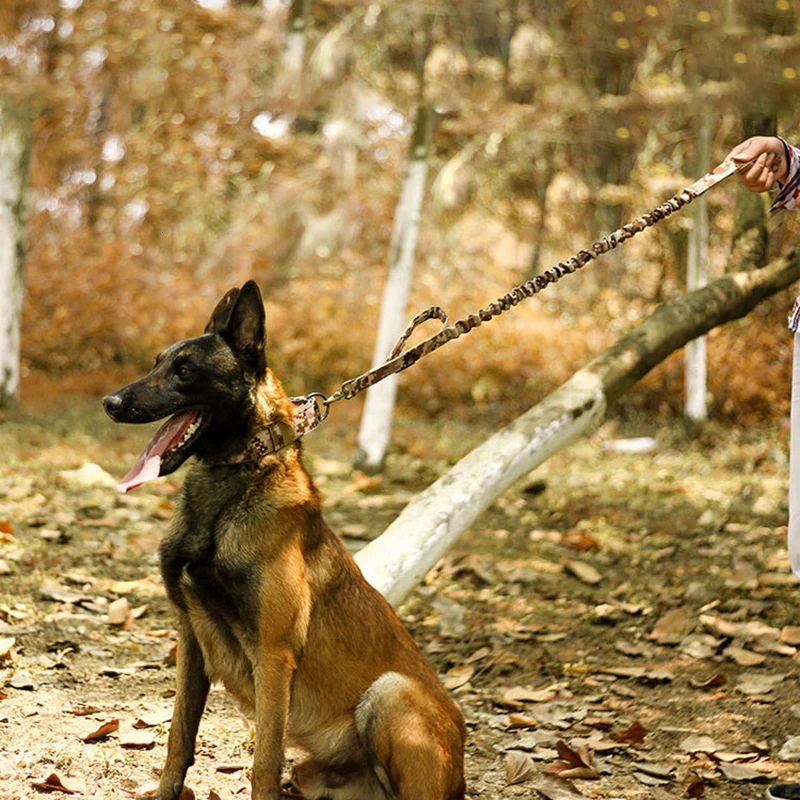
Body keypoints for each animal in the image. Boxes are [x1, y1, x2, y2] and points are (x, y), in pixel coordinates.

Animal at [102, 278, 466, 796]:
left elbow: (263, 762)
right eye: (157, 362)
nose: (111, 403)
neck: (236, 481)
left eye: (185, 370)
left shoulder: (273, 656)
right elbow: (178, 737)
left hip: (390, 691)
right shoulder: (190, 637)